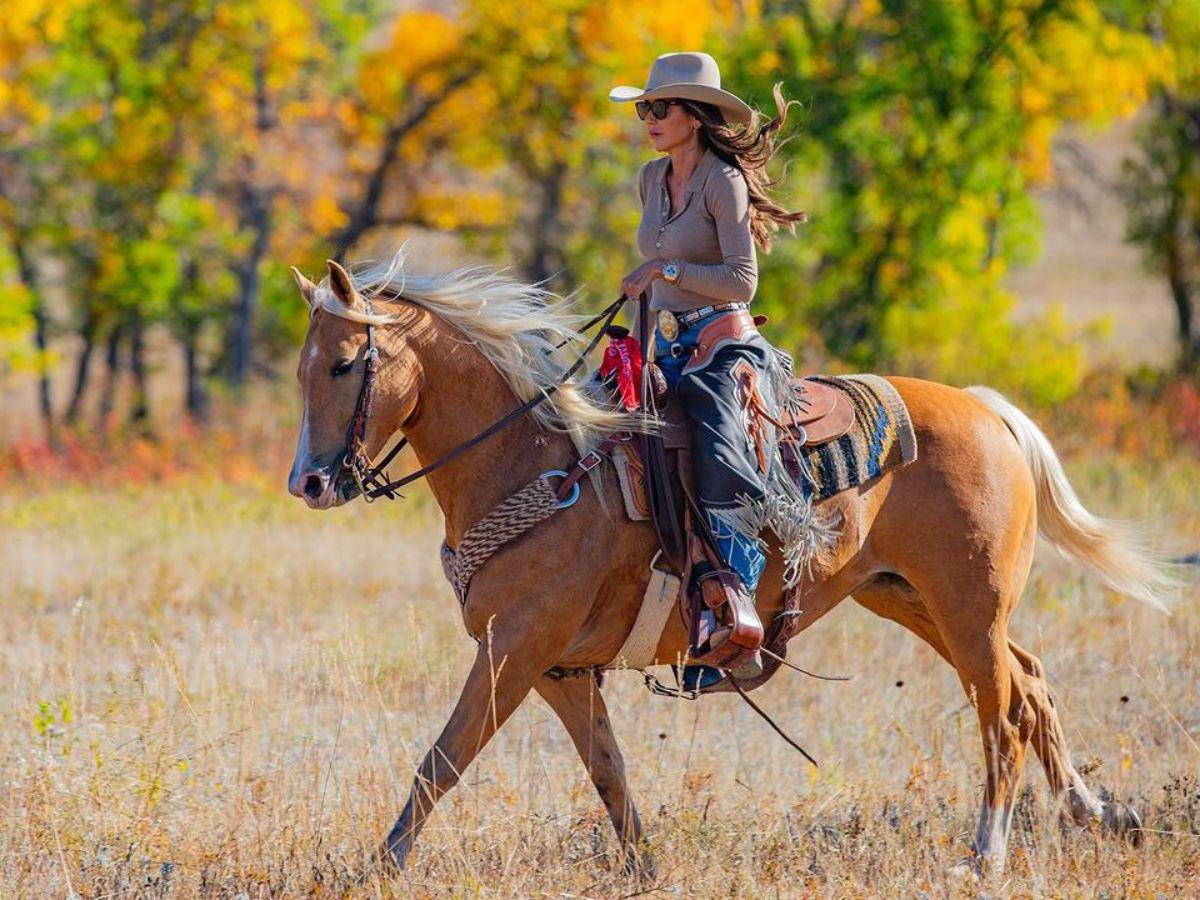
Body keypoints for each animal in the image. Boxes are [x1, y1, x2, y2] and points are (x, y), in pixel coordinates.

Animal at [288, 247, 1171, 873]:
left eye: (344, 364)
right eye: (303, 369)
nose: (309, 482)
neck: (536, 461)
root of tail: (988, 412)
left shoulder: (515, 649)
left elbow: (442, 758)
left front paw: (379, 867)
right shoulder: (559, 670)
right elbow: (609, 775)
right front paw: (644, 870)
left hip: (967, 604)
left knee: (1002, 714)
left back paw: (985, 855)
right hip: (909, 598)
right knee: (1031, 682)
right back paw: (1097, 812)